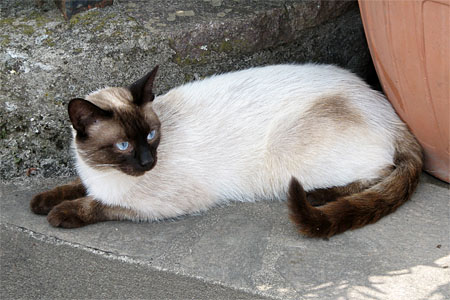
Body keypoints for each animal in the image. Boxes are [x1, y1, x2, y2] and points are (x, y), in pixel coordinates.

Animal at [30, 64, 422, 238]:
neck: (103, 172)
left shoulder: (160, 204)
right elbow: (74, 186)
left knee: (378, 174)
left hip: (287, 155)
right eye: (123, 145)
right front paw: (42, 201)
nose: (147, 162)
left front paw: (60, 213)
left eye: (152, 135)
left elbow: (98, 203)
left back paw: (319, 195)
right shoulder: (93, 178)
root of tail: (393, 115)